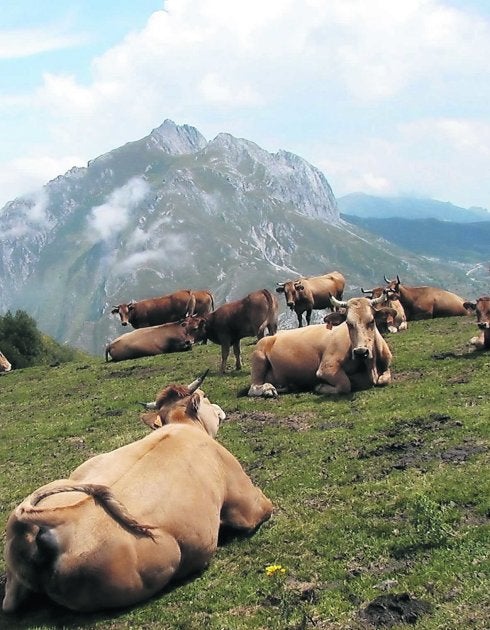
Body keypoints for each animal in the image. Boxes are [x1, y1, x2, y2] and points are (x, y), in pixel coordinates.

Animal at [247, 294, 392, 398]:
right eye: (348, 323)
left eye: (371, 321)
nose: (361, 352)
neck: (371, 367)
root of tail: (274, 335)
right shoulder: (326, 368)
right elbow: (345, 384)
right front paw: (320, 387)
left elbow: (385, 378)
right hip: (259, 357)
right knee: (253, 387)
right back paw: (269, 390)